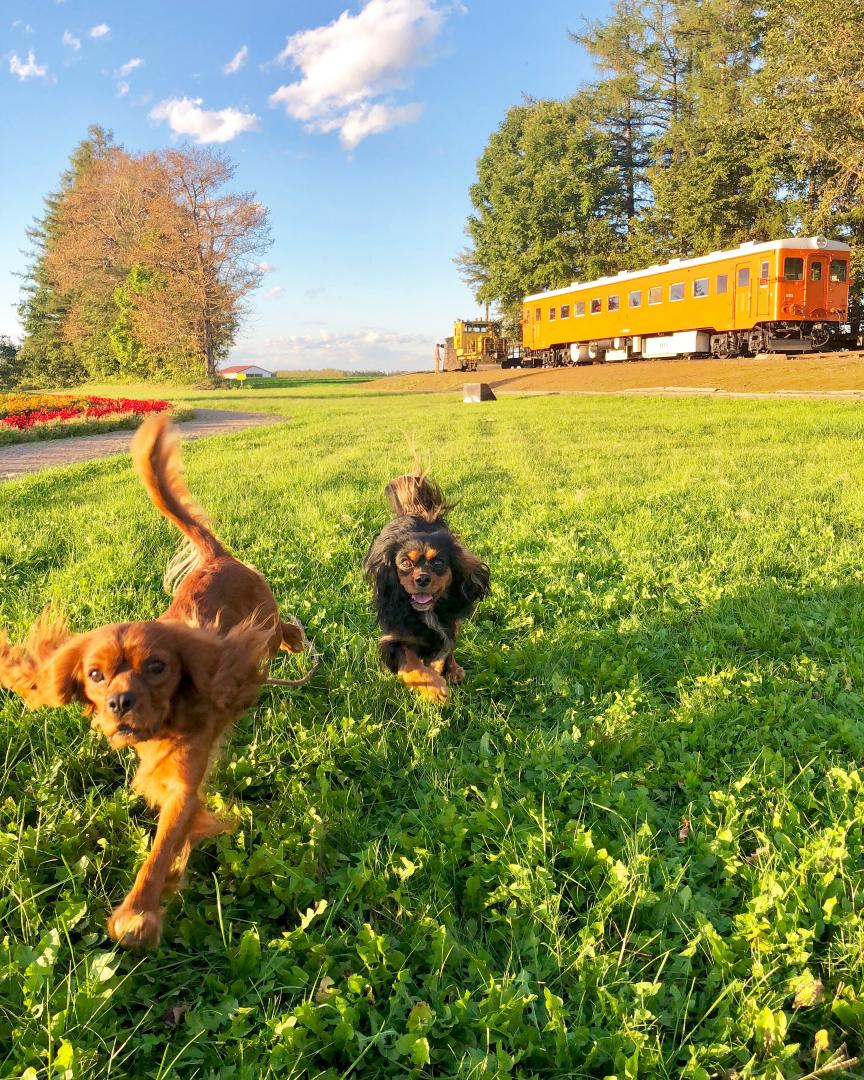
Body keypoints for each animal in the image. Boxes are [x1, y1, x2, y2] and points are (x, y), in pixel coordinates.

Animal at [360, 470, 490, 704]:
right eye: (405, 563)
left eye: (438, 563)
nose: (422, 579)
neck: (426, 613)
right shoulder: (392, 639)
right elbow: (411, 661)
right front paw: (434, 686)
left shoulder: (447, 625)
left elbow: (447, 646)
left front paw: (445, 670)